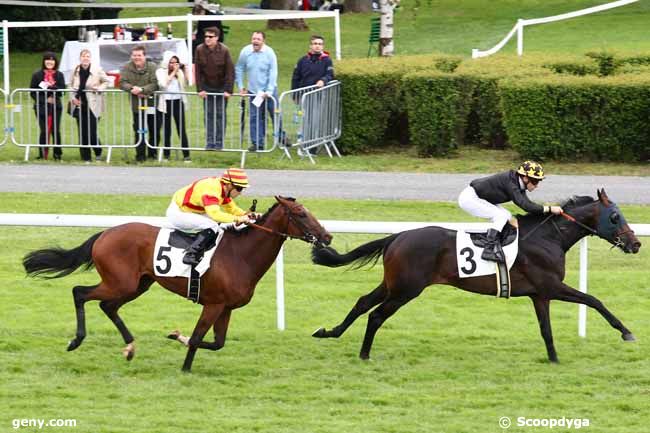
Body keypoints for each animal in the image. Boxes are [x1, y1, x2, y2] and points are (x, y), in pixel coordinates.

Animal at [23, 197, 332, 370]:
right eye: (301, 214)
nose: (327, 236)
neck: (240, 255)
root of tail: (104, 234)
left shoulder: (226, 308)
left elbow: (217, 343)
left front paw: (176, 337)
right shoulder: (213, 304)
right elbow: (197, 338)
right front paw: (184, 367)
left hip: (138, 284)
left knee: (107, 306)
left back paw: (130, 347)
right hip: (121, 282)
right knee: (80, 293)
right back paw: (76, 340)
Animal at [312, 189, 640, 362]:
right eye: (615, 217)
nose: (636, 243)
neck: (549, 237)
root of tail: (398, 236)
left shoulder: (539, 294)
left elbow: (546, 328)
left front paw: (554, 358)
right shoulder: (552, 286)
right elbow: (594, 300)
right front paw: (626, 331)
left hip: (393, 283)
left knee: (362, 303)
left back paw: (329, 332)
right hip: (406, 289)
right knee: (376, 315)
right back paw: (364, 353)